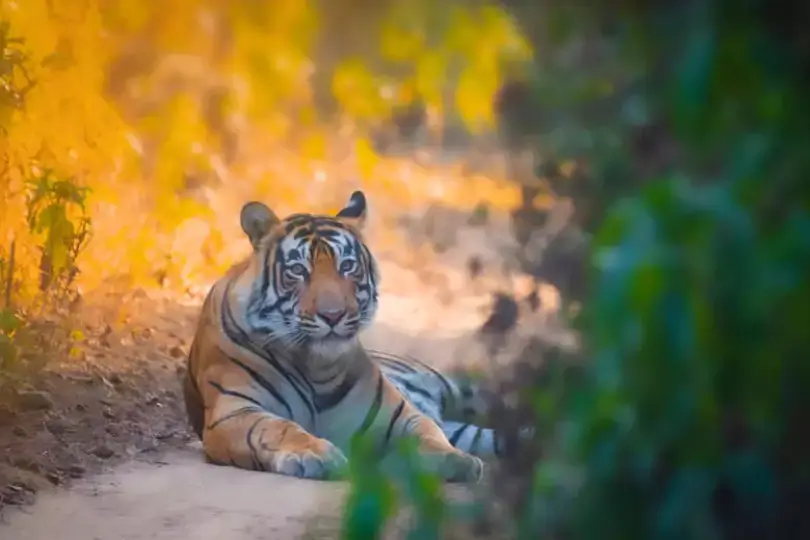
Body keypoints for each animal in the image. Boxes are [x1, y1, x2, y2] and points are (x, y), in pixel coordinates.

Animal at [183, 191, 491, 482]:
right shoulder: (234, 410)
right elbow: (277, 428)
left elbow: (428, 431)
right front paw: (315, 454)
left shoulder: (398, 413)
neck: (316, 369)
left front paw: (456, 459)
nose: (333, 315)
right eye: (298, 270)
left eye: (347, 266)